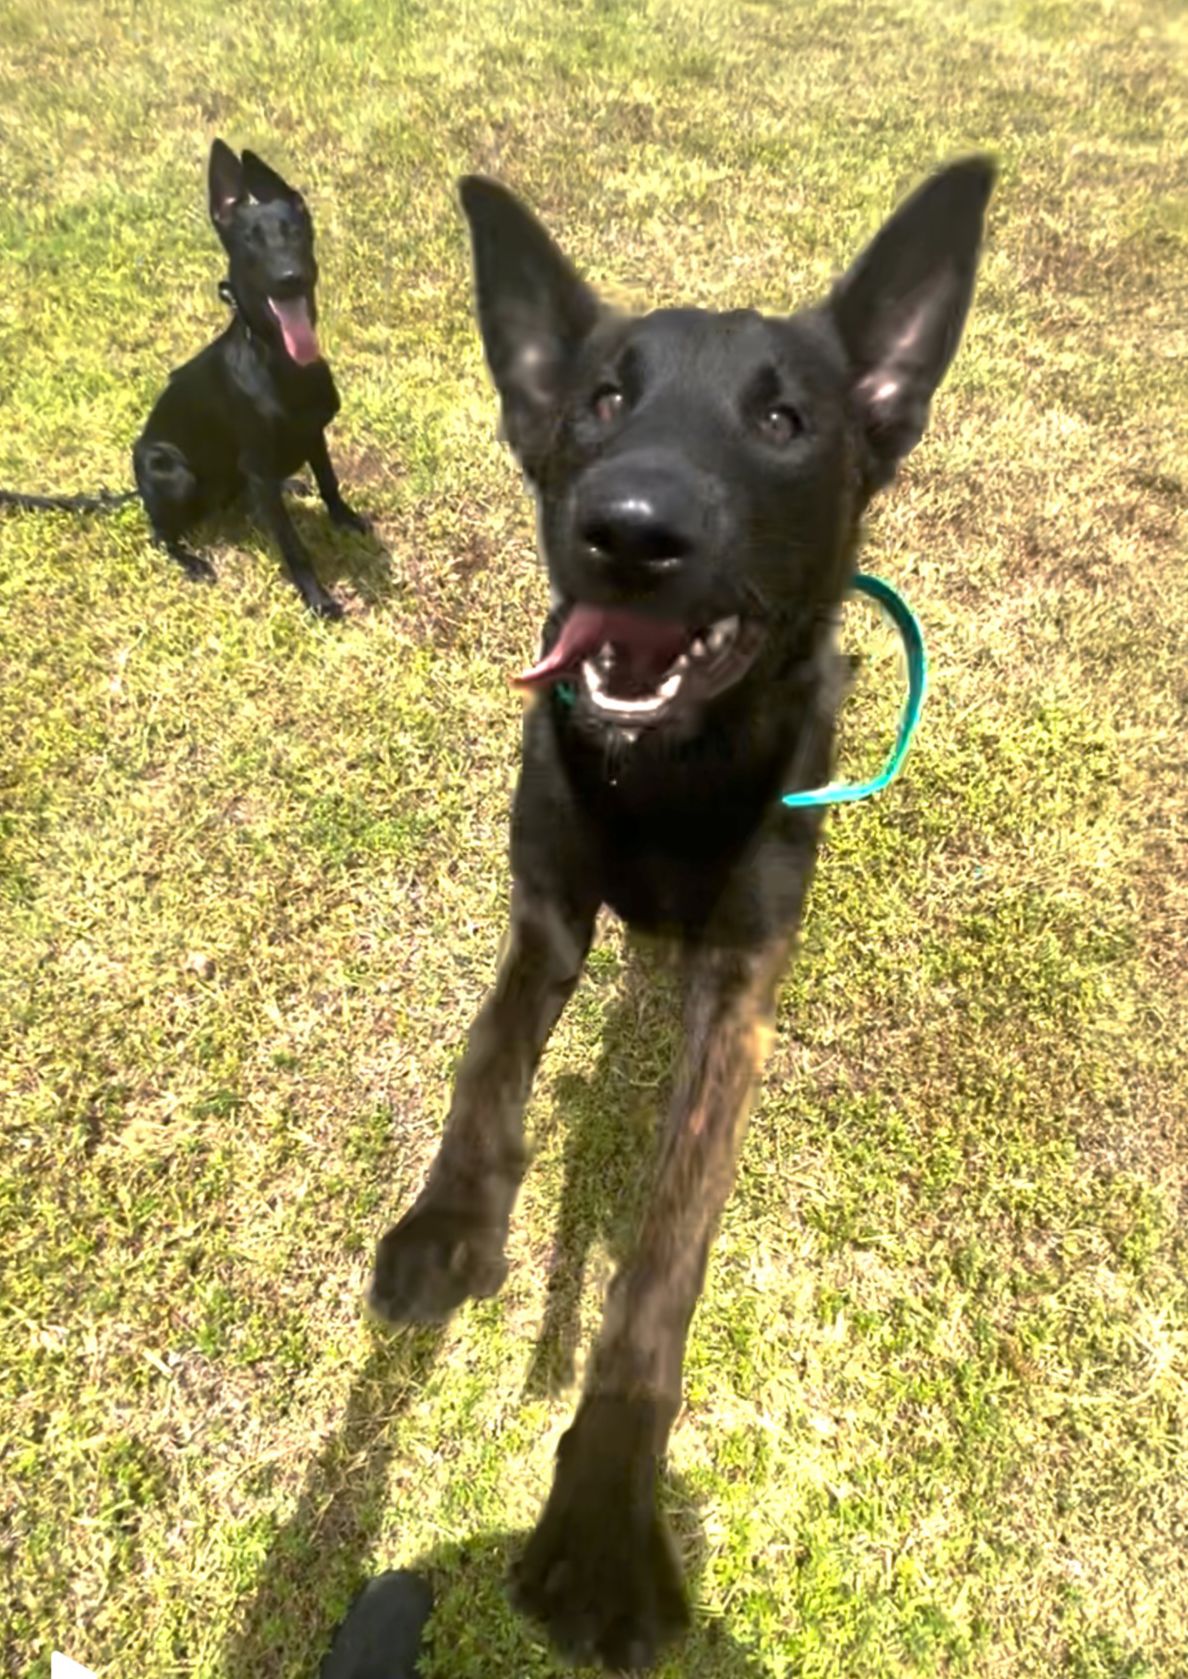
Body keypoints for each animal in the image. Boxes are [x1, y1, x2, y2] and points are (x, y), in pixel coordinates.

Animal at [131, 139, 365, 617]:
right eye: (248, 242)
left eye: (295, 232)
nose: (289, 279)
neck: (278, 359)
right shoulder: (257, 464)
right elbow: (293, 544)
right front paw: (317, 597)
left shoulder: (314, 433)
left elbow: (329, 482)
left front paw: (344, 519)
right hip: (169, 471)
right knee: (160, 534)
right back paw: (192, 561)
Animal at [368, 157, 996, 1669]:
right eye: (601, 400)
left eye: (782, 420)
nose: (631, 530)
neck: (666, 773)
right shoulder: (545, 910)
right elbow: (487, 1055)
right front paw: (448, 1217)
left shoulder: (736, 995)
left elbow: (660, 1259)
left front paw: (603, 1515)